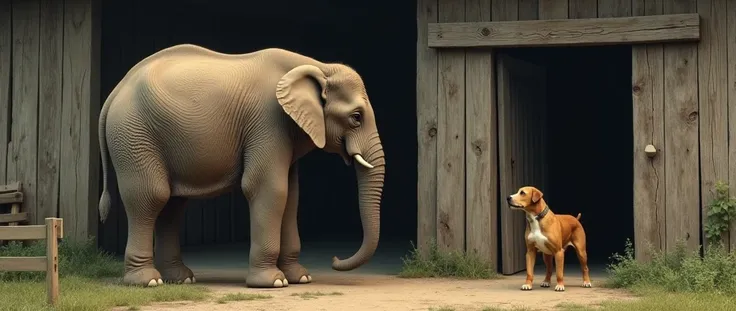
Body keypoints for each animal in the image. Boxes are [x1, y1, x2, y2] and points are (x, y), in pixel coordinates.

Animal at [99, 44, 386, 290]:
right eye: (356, 117)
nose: (335, 259)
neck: (319, 66)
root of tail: (114, 92)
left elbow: (291, 196)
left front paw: (301, 278)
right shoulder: (267, 122)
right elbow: (270, 189)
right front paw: (274, 283)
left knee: (172, 204)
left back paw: (181, 279)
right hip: (133, 134)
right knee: (151, 197)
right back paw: (148, 282)